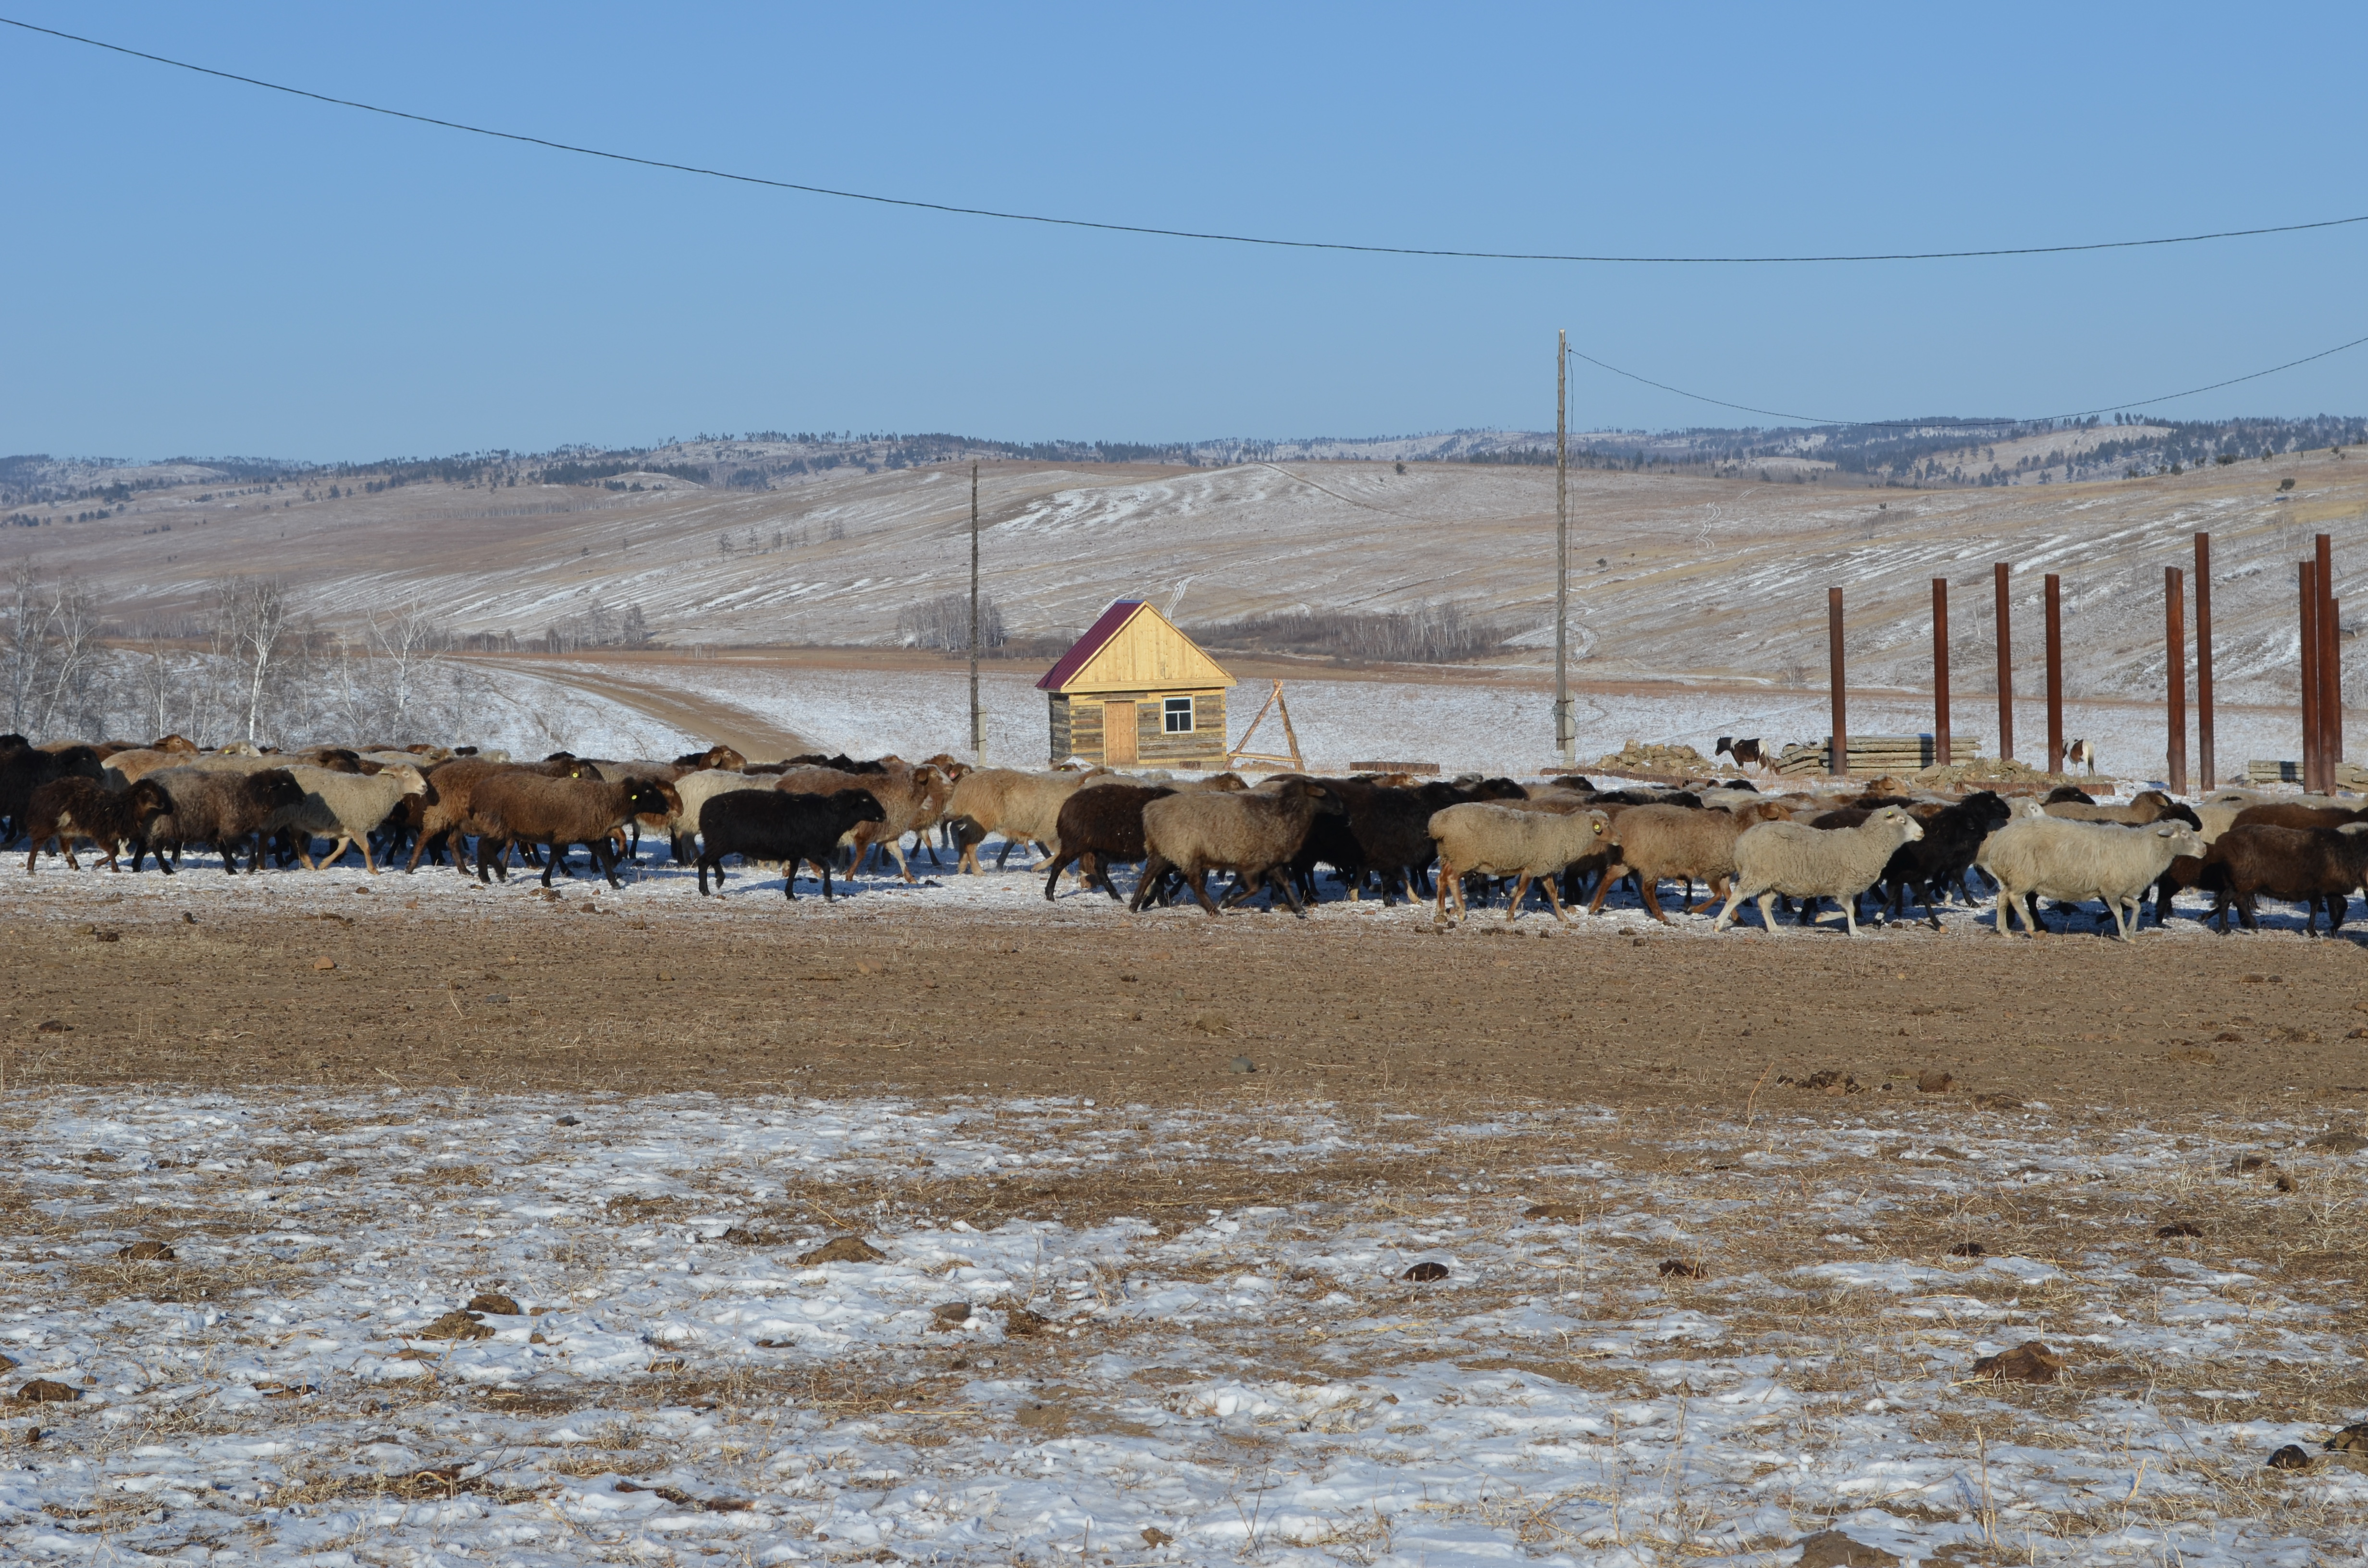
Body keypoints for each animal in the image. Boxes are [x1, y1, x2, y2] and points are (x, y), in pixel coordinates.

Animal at [705, 791, 890, 905]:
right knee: (703, 862)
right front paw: (828, 895)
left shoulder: (796, 853)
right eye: (865, 800)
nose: (883, 815)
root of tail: (704, 809)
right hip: (719, 843)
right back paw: (705, 890)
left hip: (716, 843)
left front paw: (790, 895)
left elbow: (793, 872)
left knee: (710, 861)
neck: (830, 814)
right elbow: (827, 868)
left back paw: (719, 880)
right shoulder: (811, 851)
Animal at [1420, 805, 1610, 928]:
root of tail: (1437, 824)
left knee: (1441, 878)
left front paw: (1562, 917)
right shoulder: (1532, 868)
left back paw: (1441, 912)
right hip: (1463, 857)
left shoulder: (1543, 868)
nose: (1617, 839)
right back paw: (1460, 911)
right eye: (1605, 825)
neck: (1565, 833)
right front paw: (1511, 916)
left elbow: (1553, 893)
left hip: (1450, 856)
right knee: (1451, 878)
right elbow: (1521, 892)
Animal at [1714, 805, 1932, 938]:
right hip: (1756, 874)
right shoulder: (1845, 887)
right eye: (1902, 821)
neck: (1867, 843)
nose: (1922, 832)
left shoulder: (1842, 888)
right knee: (1736, 898)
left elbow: (1849, 910)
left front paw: (1824, 917)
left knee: (1764, 903)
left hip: (1772, 880)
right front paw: (1853, 931)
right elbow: (1850, 910)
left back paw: (1774, 928)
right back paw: (1718, 924)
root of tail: (1741, 843)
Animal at [1961, 815, 2197, 938]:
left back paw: (2005, 930)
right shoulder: (2112, 889)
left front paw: (2130, 930)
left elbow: (2136, 907)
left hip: (2016, 876)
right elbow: (2120, 911)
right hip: (2024, 875)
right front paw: (2124, 934)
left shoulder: (2118, 889)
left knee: (2003, 898)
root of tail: (2001, 839)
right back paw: (2029, 925)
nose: (2203, 850)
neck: (2145, 848)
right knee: (2014, 898)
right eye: (2185, 834)